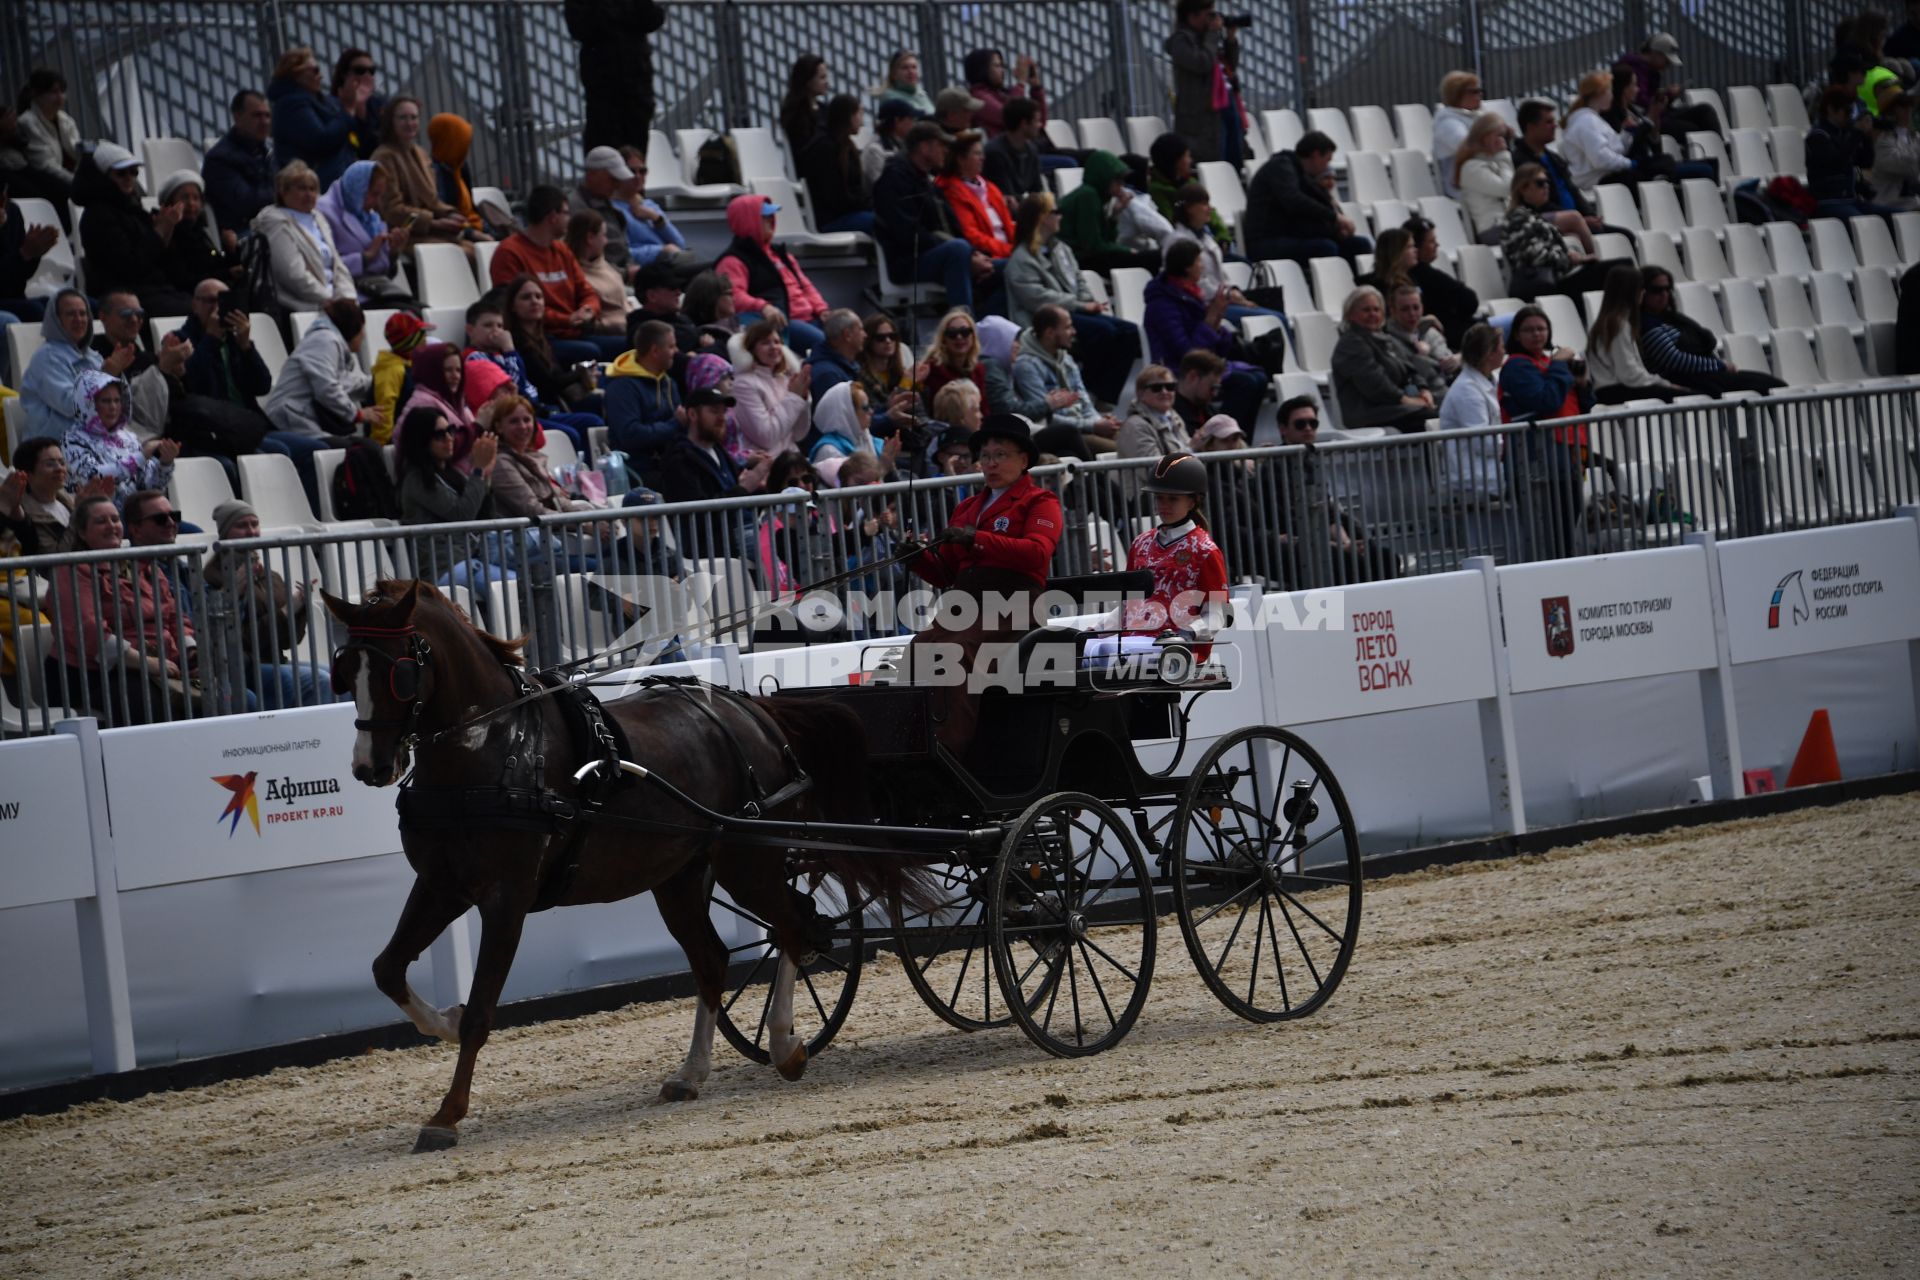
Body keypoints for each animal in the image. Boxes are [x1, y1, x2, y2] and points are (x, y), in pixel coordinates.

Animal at [322, 579, 921, 1151]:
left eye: (400, 672)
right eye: (344, 669)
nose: (369, 767)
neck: (492, 750)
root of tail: (752, 710)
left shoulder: (506, 898)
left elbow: (480, 1011)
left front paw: (447, 1115)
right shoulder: (441, 885)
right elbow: (387, 969)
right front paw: (441, 1023)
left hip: (748, 858)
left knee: (792, 927)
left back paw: (784, 1044)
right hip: (681, 876)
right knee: (714, 958)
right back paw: (691, 1072)